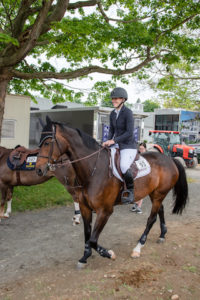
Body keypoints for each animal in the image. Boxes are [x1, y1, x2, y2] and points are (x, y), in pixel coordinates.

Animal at [35, 116, 188, 266]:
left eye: (47, 143)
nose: (38, 170)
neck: (92, 170)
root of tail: (170, 159)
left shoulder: (105, 211)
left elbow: (93, 239)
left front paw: (108, 254)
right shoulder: (85, 208)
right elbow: (87, 234)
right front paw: (85, 256)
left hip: (158, 194)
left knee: (151, 219)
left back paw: (138, 248)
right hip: (154, 194)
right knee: (160, 210)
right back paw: (162, 235)